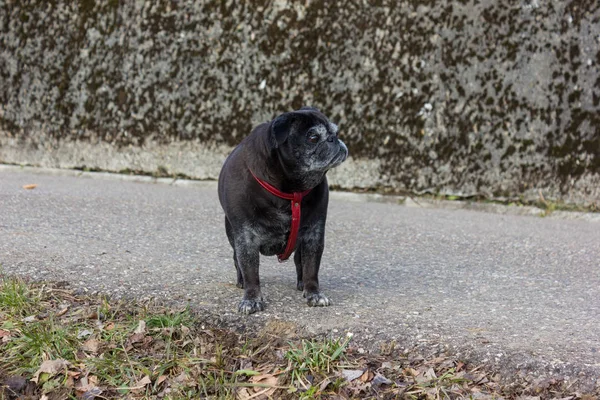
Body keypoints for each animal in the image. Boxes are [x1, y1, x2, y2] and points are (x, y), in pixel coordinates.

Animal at [218, 108, 350, 314]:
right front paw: (251, 298)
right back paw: (241, 281)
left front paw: (314, 293)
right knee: (237, 260)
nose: (333, 139)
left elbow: (312, 268)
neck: (290, 191)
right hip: (233, 236)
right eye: (313, 137)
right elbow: (250, 271)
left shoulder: (313, 236)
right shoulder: (246, 240)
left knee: (300, 262)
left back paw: (302, 284)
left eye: (335, 132)